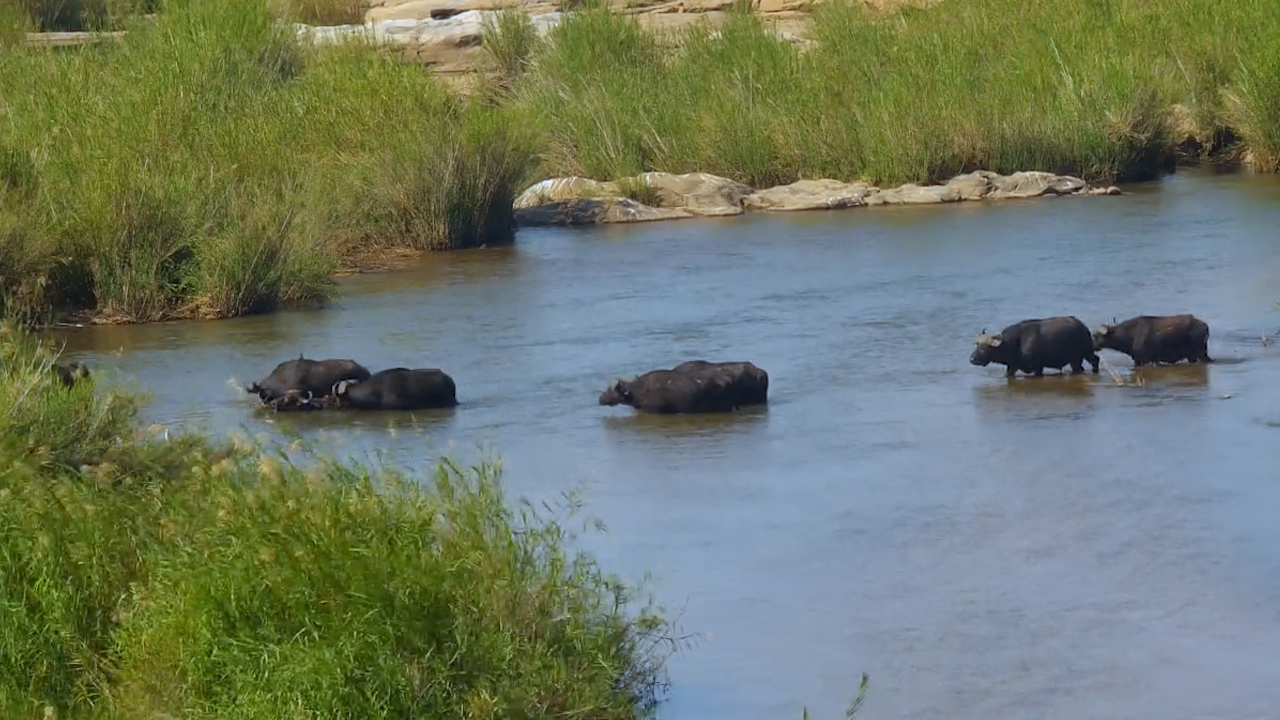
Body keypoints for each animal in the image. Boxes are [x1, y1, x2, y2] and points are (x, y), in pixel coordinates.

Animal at [970, 316, 1100, 378]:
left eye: (984, 347)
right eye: (976, 344)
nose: (972, 359)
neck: (1014, 344)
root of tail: (1083, 327)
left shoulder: (1038, 367)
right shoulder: (1012, 366)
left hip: (1083, 354)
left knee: (1095, 360)